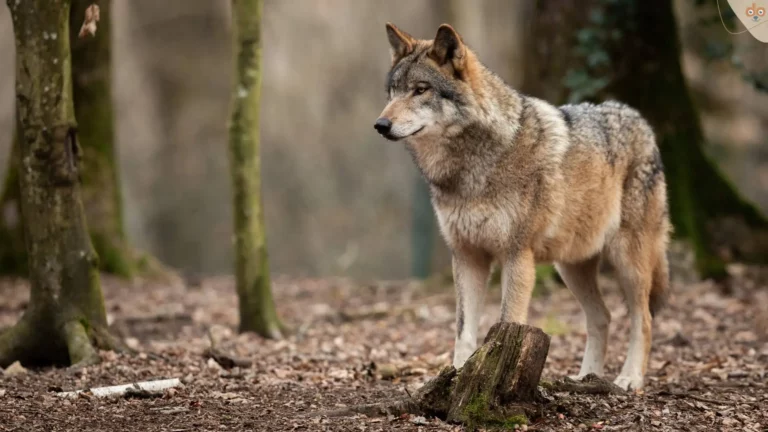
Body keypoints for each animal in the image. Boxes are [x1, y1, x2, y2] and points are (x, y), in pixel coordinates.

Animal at [374, 23, 671, 391]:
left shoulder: (517, 256)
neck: (471, 168)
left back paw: (629, 378)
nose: (380, 125)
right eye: (393, 92)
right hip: (571, 266)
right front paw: (456, 378)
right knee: (602, 316)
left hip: (628, 262)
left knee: (643, 319)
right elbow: (463, 332)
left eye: (420, 90)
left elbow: (506, 322)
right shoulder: (467, 256)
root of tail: (640, 119)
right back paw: (585, 378)